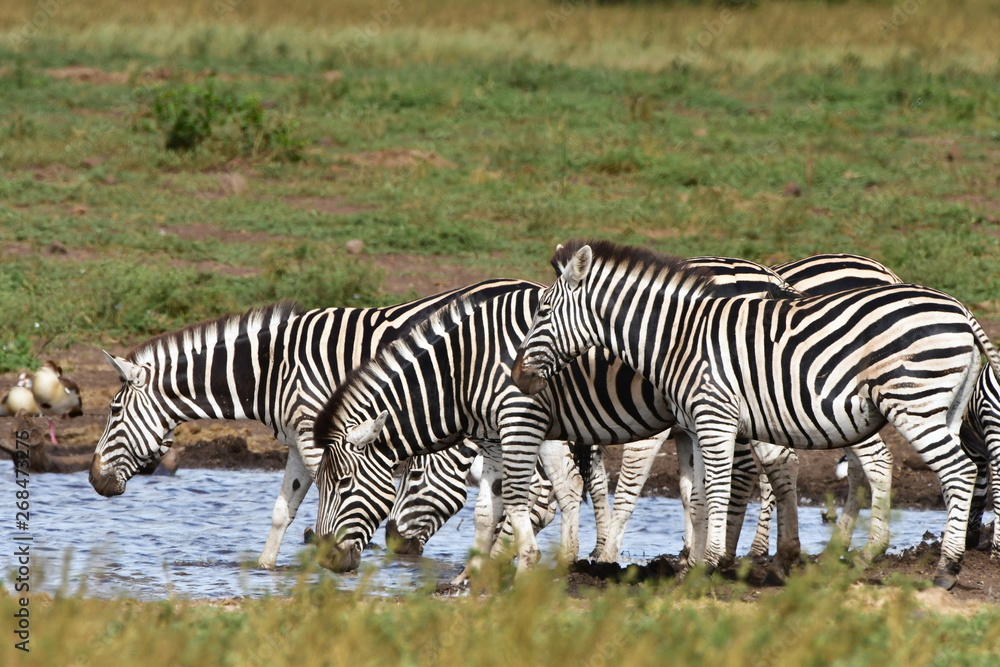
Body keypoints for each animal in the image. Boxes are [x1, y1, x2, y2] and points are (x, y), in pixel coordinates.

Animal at [87, 279, 535, 569]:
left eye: (113, 411)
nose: (93, 480)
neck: (272, 369)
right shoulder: (296, 442)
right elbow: (281, 511)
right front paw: (265, 569)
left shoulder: (321, 441)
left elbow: (330, 499)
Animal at [309, 265, 811, 578]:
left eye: (345, 484)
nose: (327, 561)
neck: (464, 365)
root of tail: (772, 277)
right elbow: (514, 499)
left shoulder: (531, 418)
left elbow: (562, 485)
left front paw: (564, 557)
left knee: (763, 468)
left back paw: (747, 557)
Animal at [511, 240, 1000, 589]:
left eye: (542, 310)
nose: (517, 377)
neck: (677, 337)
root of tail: (961, 310)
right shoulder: (696, 423)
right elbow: (697, 493)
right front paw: (696, 560)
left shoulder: (712, 417)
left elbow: (698, 488)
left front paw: (701, 564)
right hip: (940, 408)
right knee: (954, 471)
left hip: (912, 403)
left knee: (951, 470)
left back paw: (945, 568)